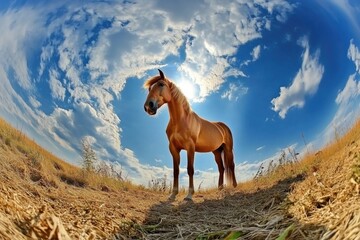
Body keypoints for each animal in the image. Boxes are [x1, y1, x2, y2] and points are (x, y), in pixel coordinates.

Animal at [143, 69, 239, 201]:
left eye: (161, 84)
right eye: (150, 88)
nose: (148, 106)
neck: (181, 121)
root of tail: (223, 126)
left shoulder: (190, 147)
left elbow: (190, 169)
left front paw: (189, 195)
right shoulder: (173, 148)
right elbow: (176, 171)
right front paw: (173, 194)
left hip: (228, 149)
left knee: (232, 165)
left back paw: (234, 185)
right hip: (216, 151)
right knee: (221, 168)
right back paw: (220, 188)